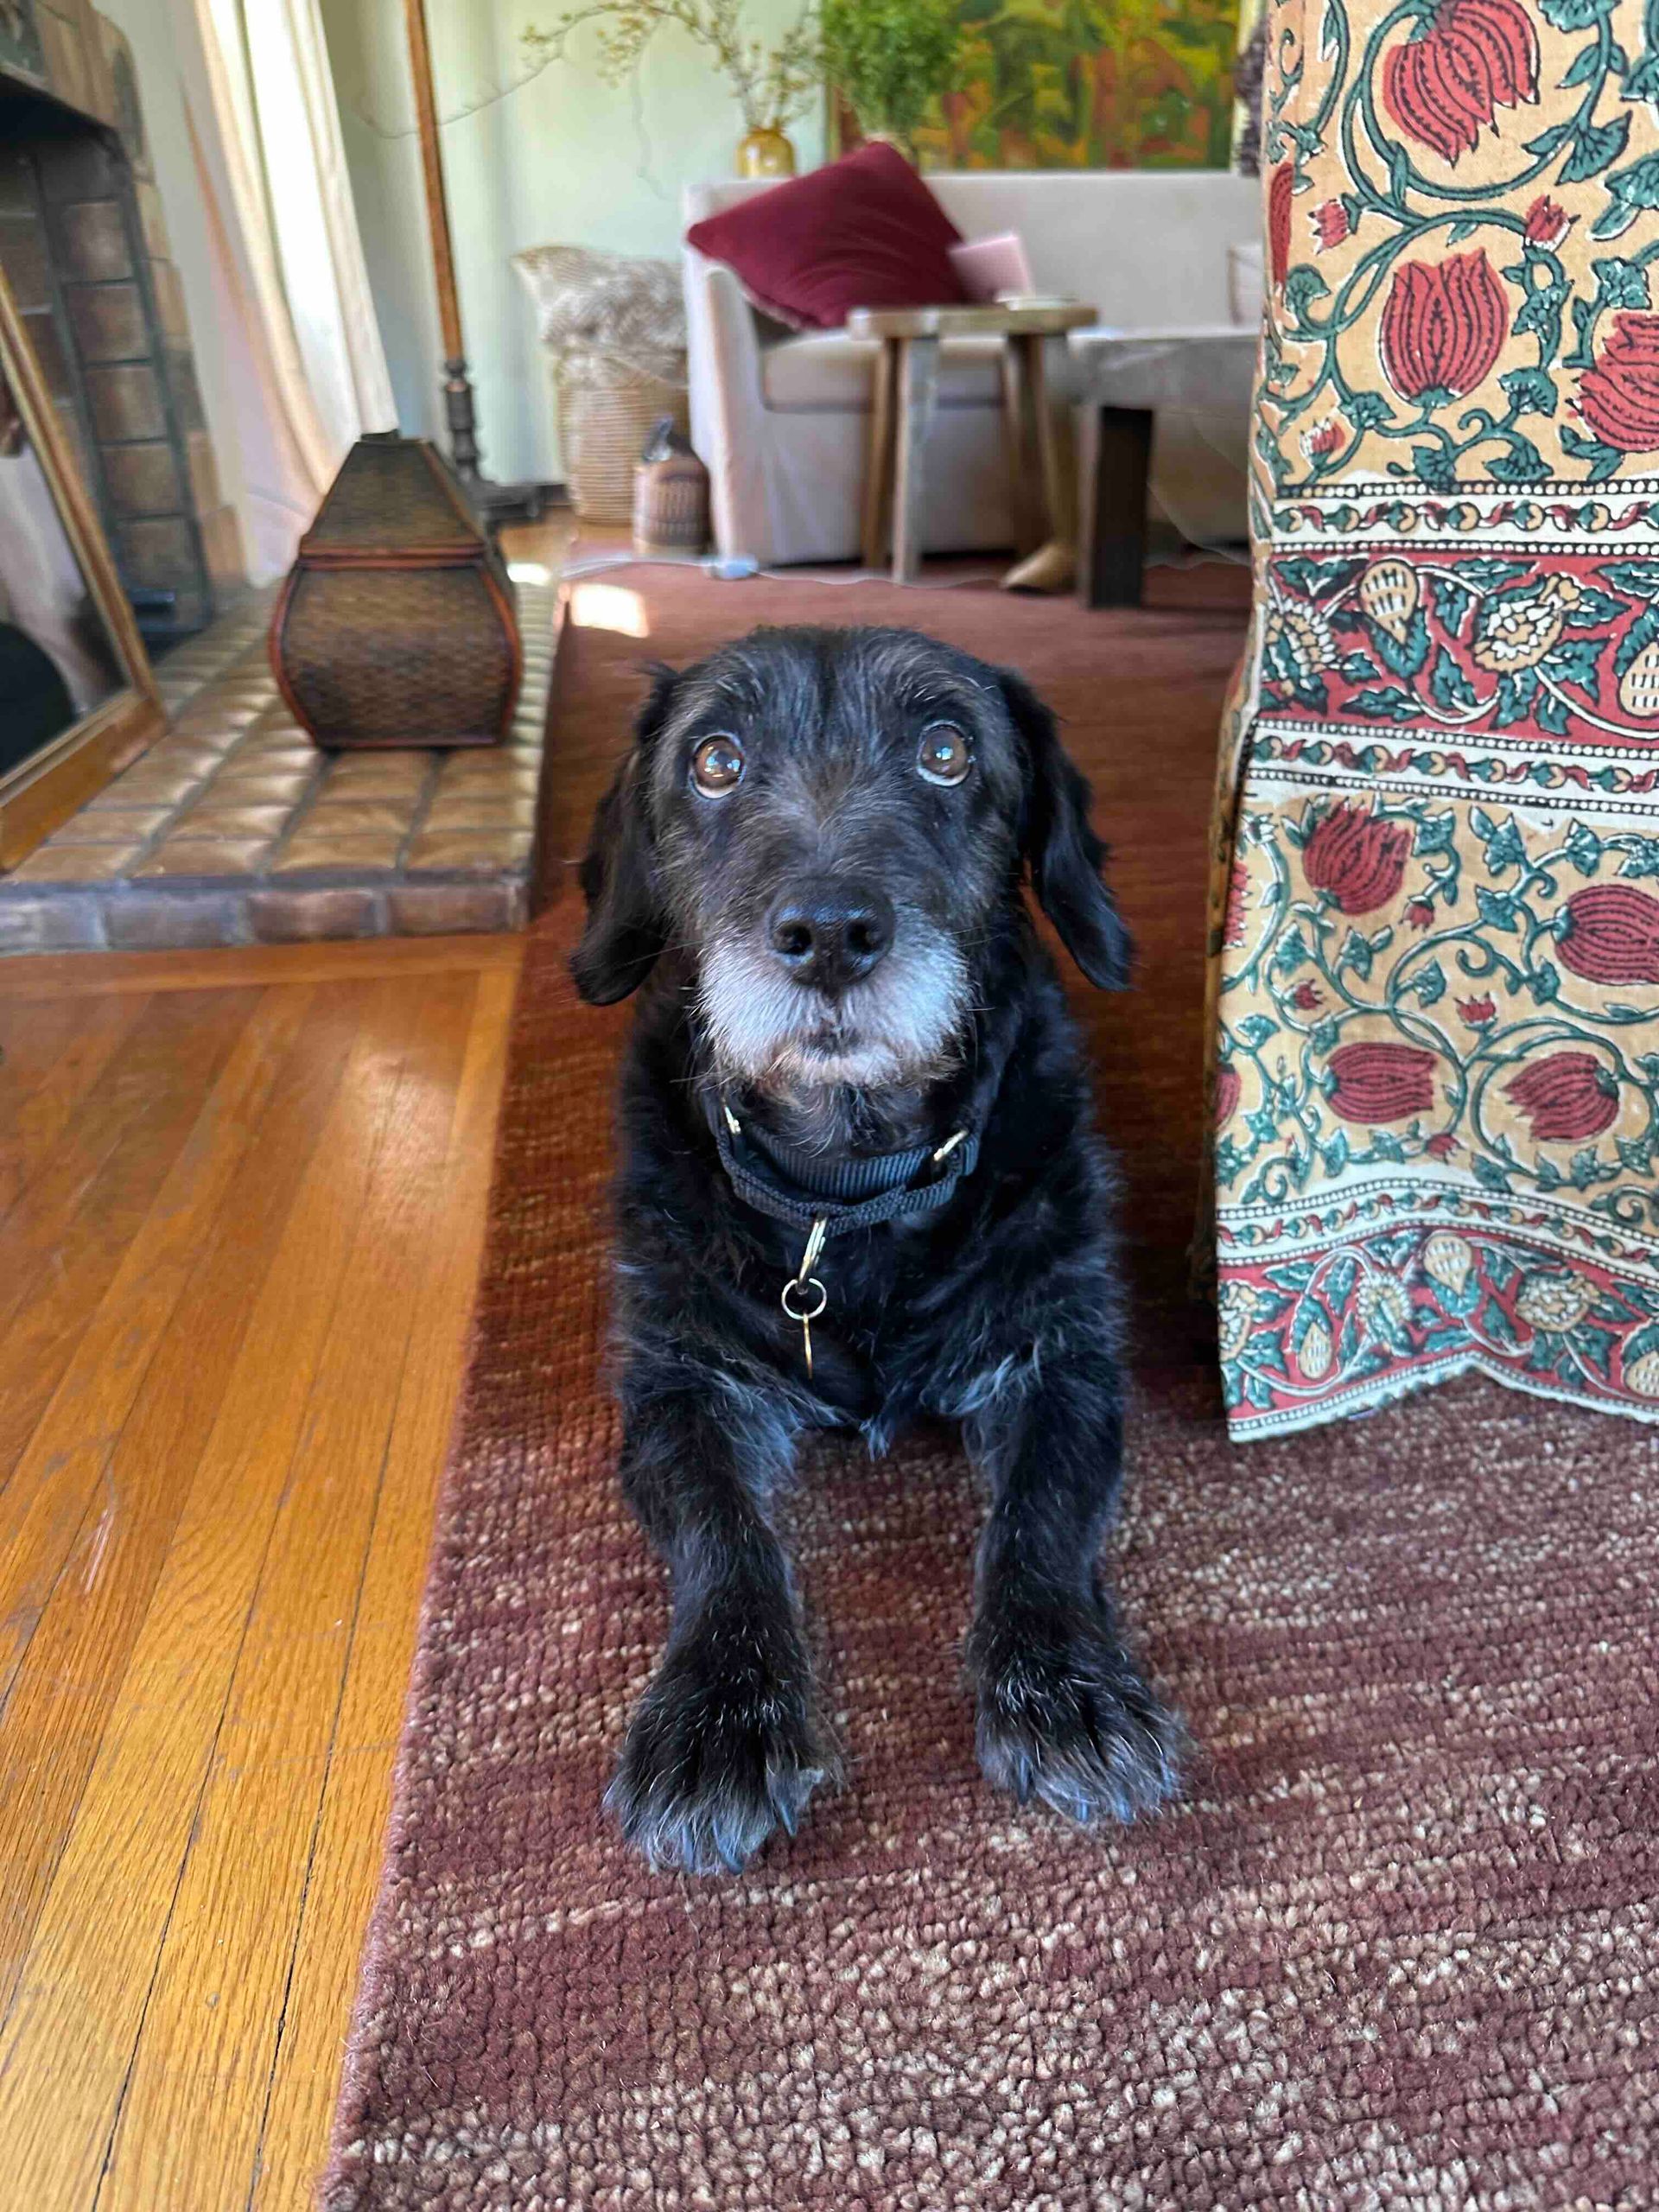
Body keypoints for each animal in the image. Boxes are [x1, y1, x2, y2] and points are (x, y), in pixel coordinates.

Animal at [572, 623, 1181, 1873]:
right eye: (714, 761)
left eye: (946, 749)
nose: (830, 937)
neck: (845, 1196)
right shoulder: (680, 1385)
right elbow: (723, 1538)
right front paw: (717, 1717)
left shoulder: (1064, 1363)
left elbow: (1043, 1522)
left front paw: (1065, 1684)